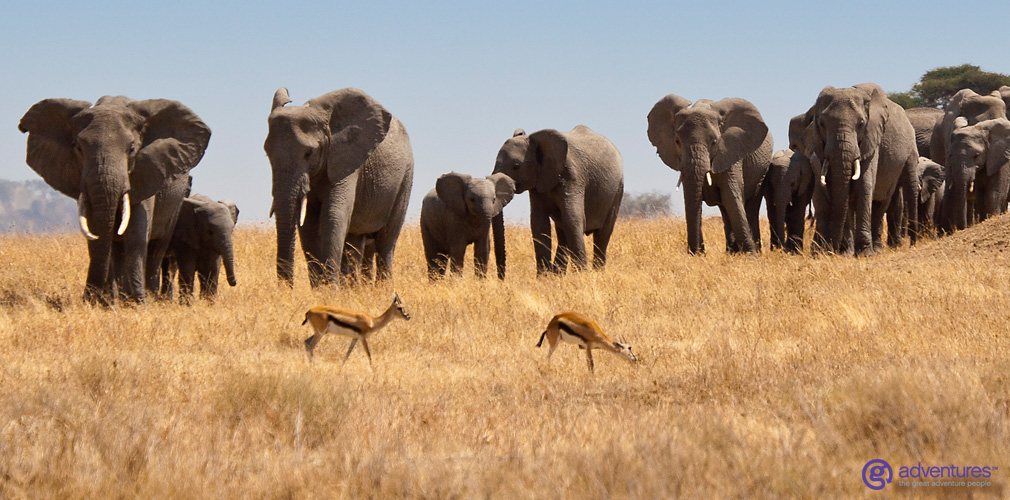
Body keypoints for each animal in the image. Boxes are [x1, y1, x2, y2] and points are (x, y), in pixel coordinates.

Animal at [18, 95, 209, 303]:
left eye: (132, 148)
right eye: (78, 148)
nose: (87, 297)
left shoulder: (146, 172)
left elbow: (137, 235)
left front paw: (138, 304)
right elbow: (97, 232)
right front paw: (106, 304)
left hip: (175, 201)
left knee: (157, 246)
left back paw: (148, 296)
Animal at [266, 87, 416, 286]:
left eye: (309, 153)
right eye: (267, 152)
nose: (286, 289)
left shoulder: (346, 159)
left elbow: (333, 216)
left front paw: (331, 289)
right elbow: (308, 225)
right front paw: (321, 289)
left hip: (405, 177)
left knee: (386, 241)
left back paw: (382, 288)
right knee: (355, 239)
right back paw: (353, 288)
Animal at [490, 124, 622, 274]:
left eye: (516, 166)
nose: (501, 276)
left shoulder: (572, 177)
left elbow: (572, 219)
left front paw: (582, 275)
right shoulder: (538, 184)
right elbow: (539, 224)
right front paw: (544, 278)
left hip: (617, 190)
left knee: (602, 235)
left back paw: (597, 272)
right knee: (563, 233)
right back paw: (558, 274)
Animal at [646, 96, 771, 256]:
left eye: (714, 142)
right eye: (677, 141)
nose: (695, 253)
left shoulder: (731, 153)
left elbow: (731, 197)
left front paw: (751, 256)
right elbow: (695, 199)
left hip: (761, 173)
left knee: (750, 206)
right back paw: (731, 252)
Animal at [799, 84, 921, 256]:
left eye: (861, 123)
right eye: (822, 124)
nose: (834, 249)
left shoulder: (872, 139)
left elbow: (864, 185)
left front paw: (865, 254)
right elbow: (840, 192)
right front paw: (846, 253)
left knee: (881, 203)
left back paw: (877, 250)